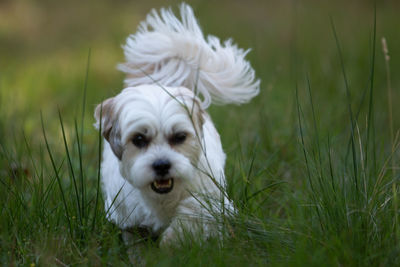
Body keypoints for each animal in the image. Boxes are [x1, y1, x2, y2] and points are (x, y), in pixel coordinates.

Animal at [94, 2, 260, 247]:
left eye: (180, 137)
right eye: (139, 139)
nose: (162, 165)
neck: (162, 199)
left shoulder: (209, 199)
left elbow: (191, 215)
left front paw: (172, 242)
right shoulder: (127, 216)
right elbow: (135, 241)